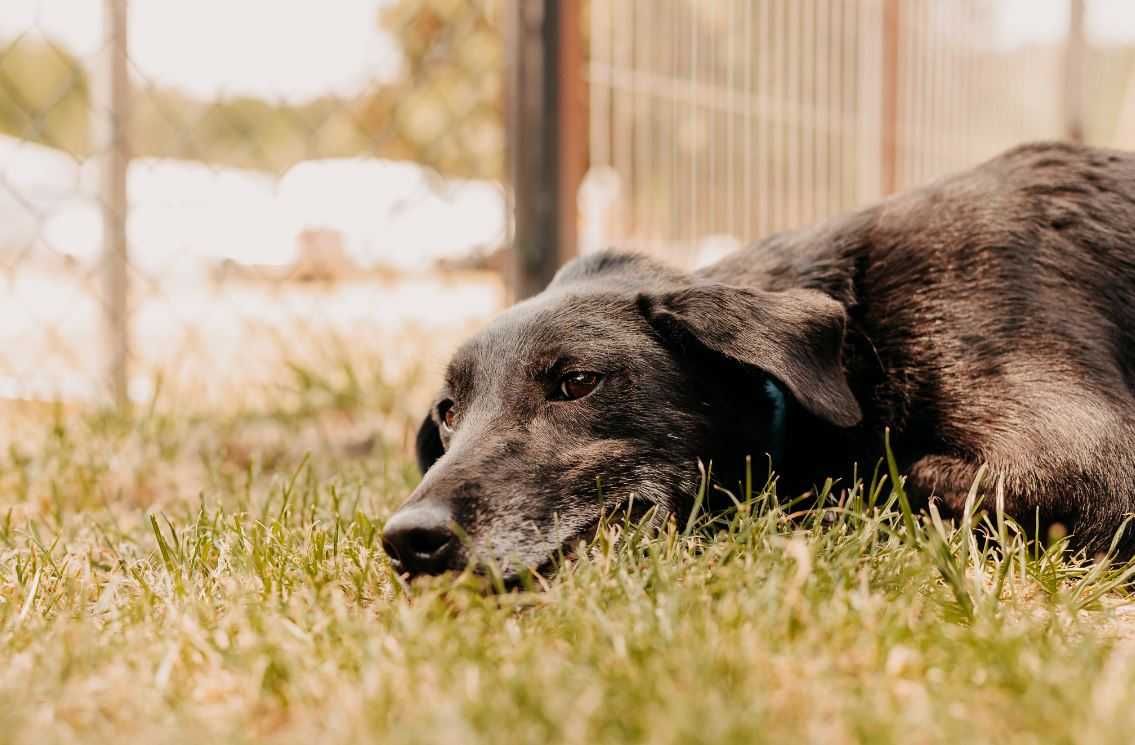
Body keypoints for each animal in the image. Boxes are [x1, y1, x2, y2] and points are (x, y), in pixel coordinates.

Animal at [383, 142, 1135, 579]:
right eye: (447, 412)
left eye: (575, 382)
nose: (409, 540)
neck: (857, 343)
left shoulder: (1093, 463)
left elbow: (896, 480)